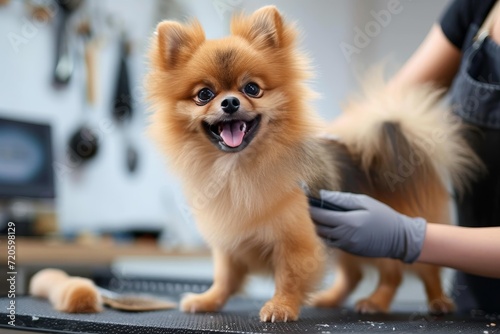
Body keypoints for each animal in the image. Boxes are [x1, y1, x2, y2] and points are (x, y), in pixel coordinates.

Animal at [146, 6, 480, 322]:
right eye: (204, 94)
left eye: (252, 89)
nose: (229, 102)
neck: (238, 168)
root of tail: (396, 134)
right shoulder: (230, 240)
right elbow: (225, 276)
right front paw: (208, 300)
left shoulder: (296, 239)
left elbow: (289, 276)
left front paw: (280, 306)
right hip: (350, 238)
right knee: (359, 274)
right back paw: (338, 299)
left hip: (397, 230)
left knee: (415, 270)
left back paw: (420, 301)